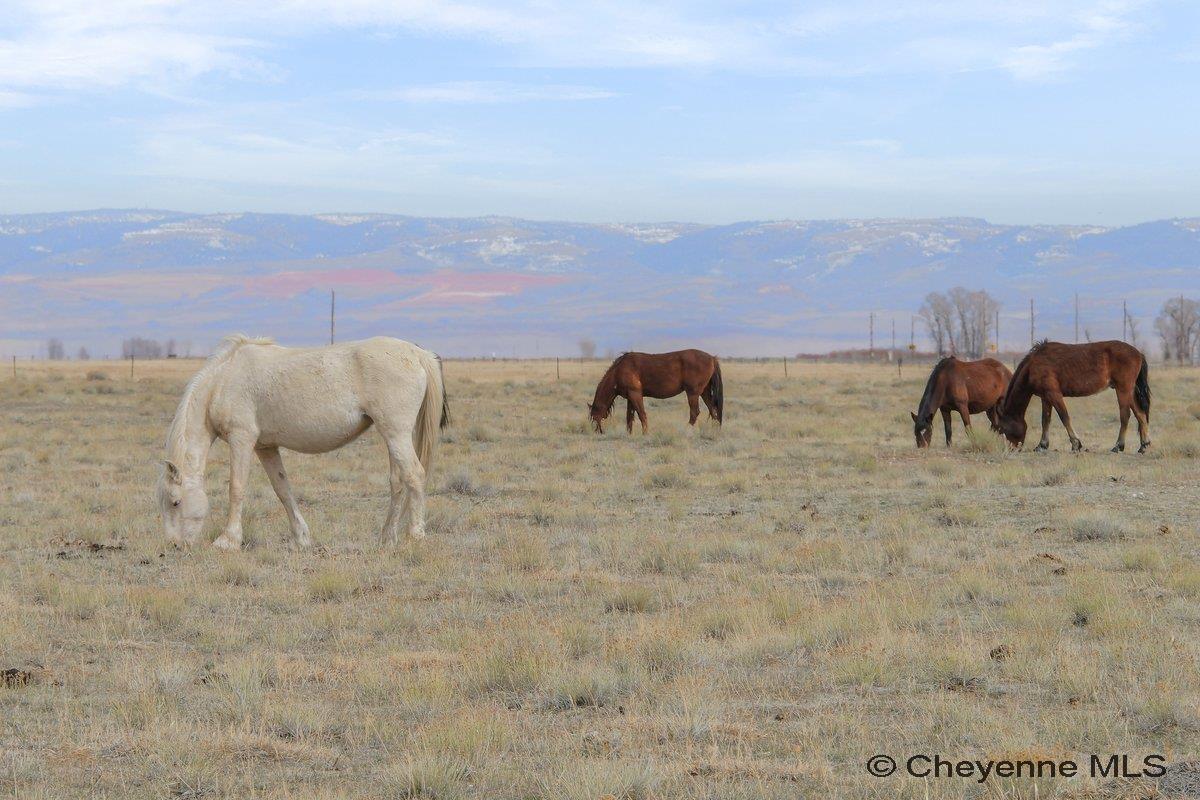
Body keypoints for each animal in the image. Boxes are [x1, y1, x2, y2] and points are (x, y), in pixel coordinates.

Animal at [157, 335, 449, 550]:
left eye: (175, 502)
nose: (174, 546)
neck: (223, 381)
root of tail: (417, 353)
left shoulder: (242, 439)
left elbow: (236, 488)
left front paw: (227, 541)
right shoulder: (265, 448)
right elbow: (283, 490)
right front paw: (301, 539)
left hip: (396, 433)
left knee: (414, 475)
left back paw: (415, 536)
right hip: (392, 436)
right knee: (398, 481)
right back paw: (387, 538)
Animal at [588, 350, 723, 434]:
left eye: (593, 416)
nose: (598, 431)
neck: (619, 370)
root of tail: (712, 358)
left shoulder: (635, 394)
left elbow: (641, 414)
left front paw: (645, 433)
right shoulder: (630, 397)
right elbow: (629, 417)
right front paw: (629, 433)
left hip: (693, 393)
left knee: (695, 412)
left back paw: (686, 430)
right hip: (704, 392)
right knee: (713, 410)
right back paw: (715, 430)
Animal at [995, 340, 1150, 453]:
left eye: (1004, 428)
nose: (1012, 449)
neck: (1033, 366)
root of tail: (1138, 353)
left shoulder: (1054, 394)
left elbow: (1064, 417)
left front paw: (1076, 444)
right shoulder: (1045, 397)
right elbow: (1045, 420)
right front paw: (1042, 445)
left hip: (1123, 390)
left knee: (1125, 415)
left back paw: (1118, 446)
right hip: (1129, 391)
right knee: (1140, 415)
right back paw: (1143, 446)